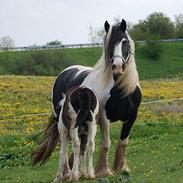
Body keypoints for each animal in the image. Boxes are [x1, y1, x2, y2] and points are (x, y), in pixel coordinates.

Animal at [31, 19, 142, 177]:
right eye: (108, 44)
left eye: (125, 42)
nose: (118, 67)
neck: (122, 90)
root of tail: (66, 72)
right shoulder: (105, 118)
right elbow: (106, 143)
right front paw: (104, 171)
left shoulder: (131, 117)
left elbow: (123, 143)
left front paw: (122, 168)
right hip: (64, 122)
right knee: (66, 145)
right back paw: (66, 173)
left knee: (80, 145)